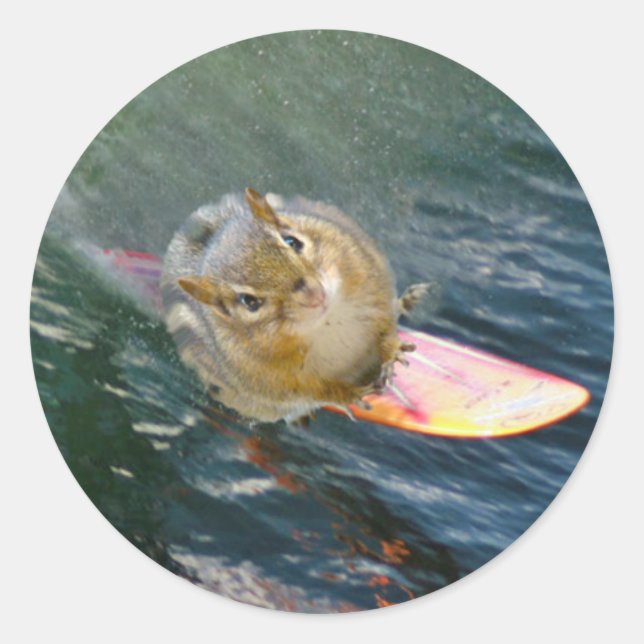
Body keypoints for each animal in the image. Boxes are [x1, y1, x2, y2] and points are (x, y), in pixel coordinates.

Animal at [161, 188, 428, 424]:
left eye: (292, 241)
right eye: (249, 302)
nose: (312, 293)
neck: (328, 321)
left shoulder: (368, 273)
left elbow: (384, 321)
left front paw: (391, 348)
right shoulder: (268, 378)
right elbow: (311, 391)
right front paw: (347, 395)